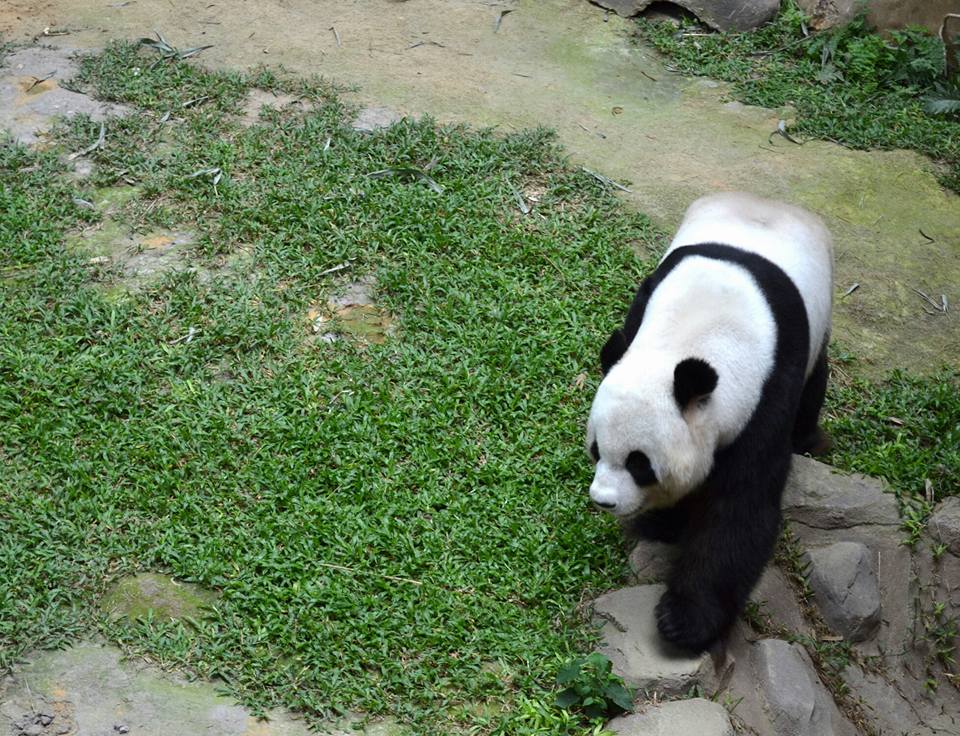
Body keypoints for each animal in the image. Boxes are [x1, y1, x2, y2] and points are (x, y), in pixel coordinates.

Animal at [586, 192, 833, 653]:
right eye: (596, 450)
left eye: (639, 464)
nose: (603, 501)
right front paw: (663, 523)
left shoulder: (770, 393)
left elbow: (739, 511)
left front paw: (683, 621)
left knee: (816, 379)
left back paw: (810, 439)